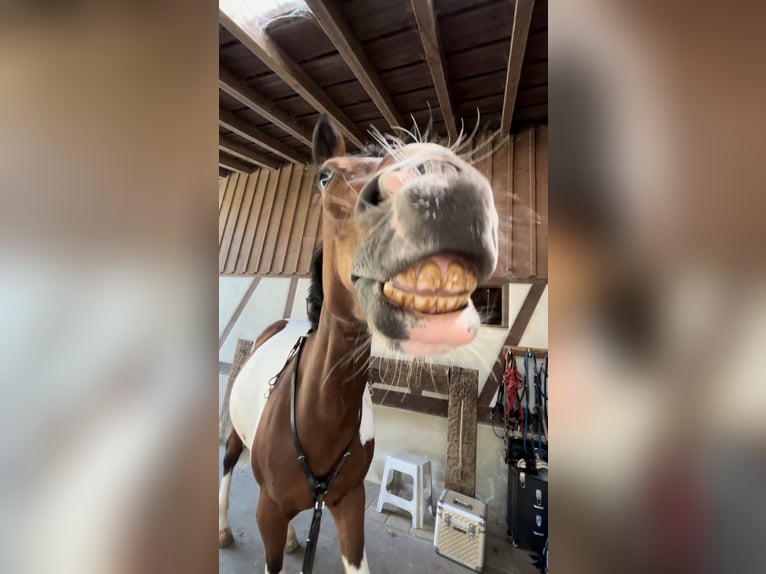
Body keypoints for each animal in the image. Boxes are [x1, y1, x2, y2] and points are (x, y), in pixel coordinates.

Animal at [219, 113, 500, 574]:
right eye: (324, 176)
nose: (437, 196)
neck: (316, 417)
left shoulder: (350, 504)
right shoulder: (268, 513)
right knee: (227, 459)